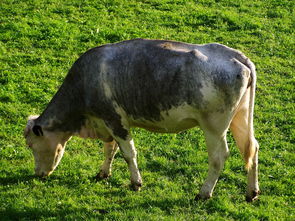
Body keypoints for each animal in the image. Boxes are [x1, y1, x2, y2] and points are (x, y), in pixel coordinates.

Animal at [24, 38, 260, 202]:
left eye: (31, 145)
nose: (37, 174)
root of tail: (236, 57)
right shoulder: (109, 121)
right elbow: (110, 149)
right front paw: (103, 173)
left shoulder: (114, 119)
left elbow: (128, 153)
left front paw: (136, 183)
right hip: (240, 119)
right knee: (251, 148)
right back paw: (251, 193)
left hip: (214, 127)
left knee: (219, 157)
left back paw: (203, 193)